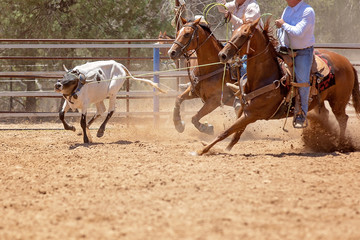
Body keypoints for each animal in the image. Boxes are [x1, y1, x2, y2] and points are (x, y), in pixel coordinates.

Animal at [197, 17, 360, 155]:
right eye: (234, 31)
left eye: (244, 34)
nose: (222, 55)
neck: (264, 77)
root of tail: (347, 62)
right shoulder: (244, 109)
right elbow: (236, 133)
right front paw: (226, 148)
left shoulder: (252, 114)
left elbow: (226, 131)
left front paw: (203, 150)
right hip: (321, 101)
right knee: (326, 115)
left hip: (338, 101)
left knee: (343, 119)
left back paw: (341, 144)